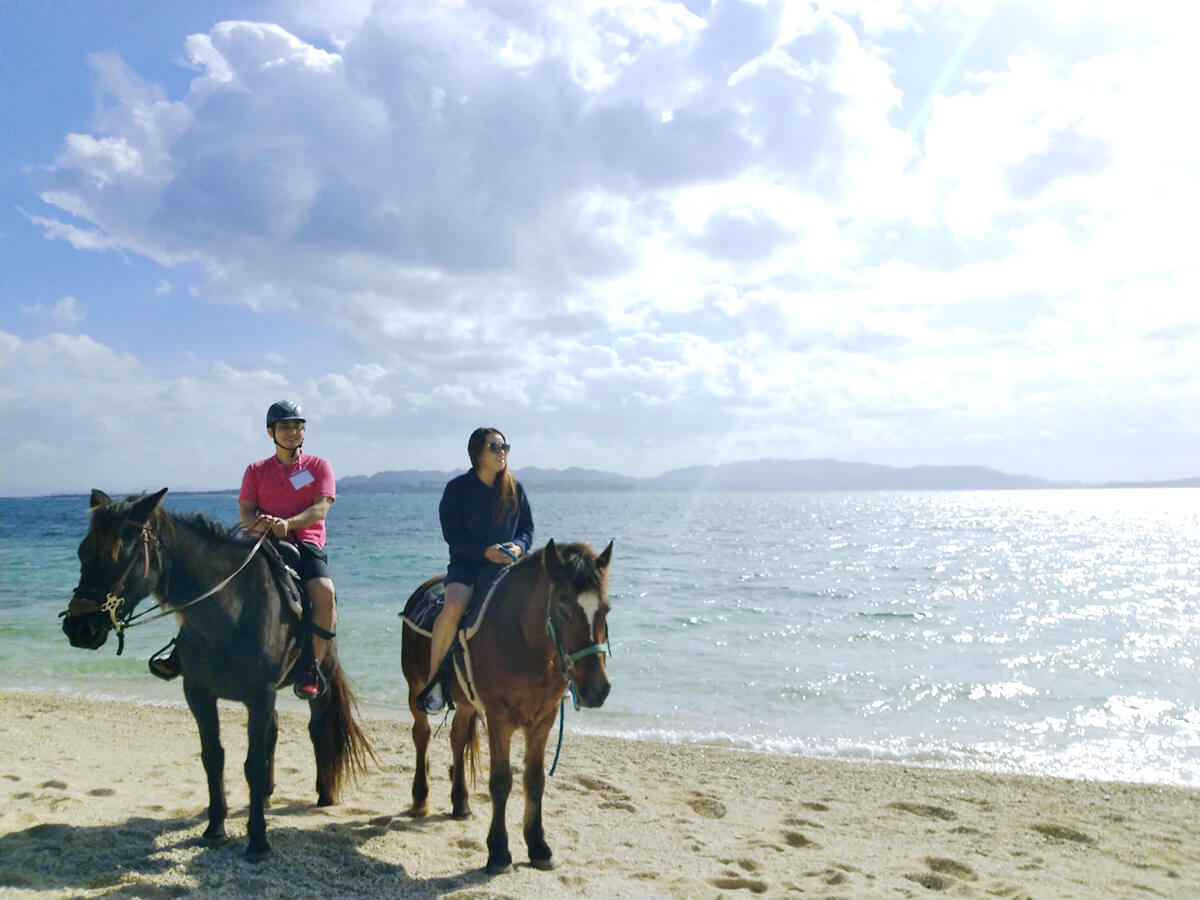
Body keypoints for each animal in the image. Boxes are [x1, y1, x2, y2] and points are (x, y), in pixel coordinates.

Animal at [59, 489, 369, 864]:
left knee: (317, 728)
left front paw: (258, 840)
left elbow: (252, 763)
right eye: (83, 551)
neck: (230, 612)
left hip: (317, 685)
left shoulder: (259, 695)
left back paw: (324, 793)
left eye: (122, 553)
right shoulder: (199, 694)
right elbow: (213, 757)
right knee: (274, 733)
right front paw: (216, 827)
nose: (78, 627)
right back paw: (266, 796)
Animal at [400, 540, 614, 878]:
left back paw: (460, 802)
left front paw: (538, 846)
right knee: (421, 735)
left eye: (605, 610)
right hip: (415, 687)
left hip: (465, 704)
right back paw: (420, 798)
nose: (597, 689)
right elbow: (501, 782)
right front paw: (499, 852)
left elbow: (535, 781)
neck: (526, 643)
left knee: (457, 739)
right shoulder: (499, 718)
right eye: (563, 608)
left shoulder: (543, 720)